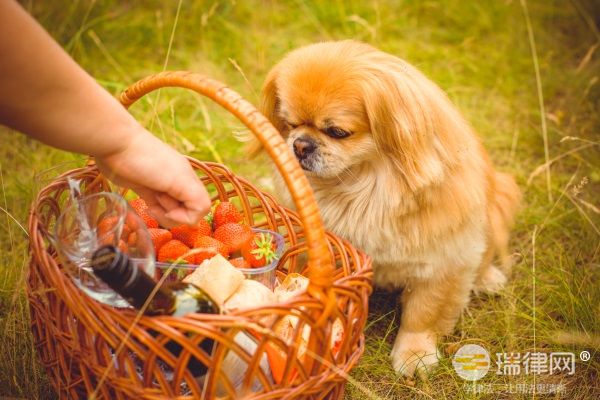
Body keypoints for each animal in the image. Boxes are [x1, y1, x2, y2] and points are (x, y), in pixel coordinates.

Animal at [253, 40, 520, 376]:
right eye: (290, 124)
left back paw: (488, 279)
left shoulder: (443, 264)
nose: (300, 145)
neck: (363, 189)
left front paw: (415, 355)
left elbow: (422, 315)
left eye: (337, 132)